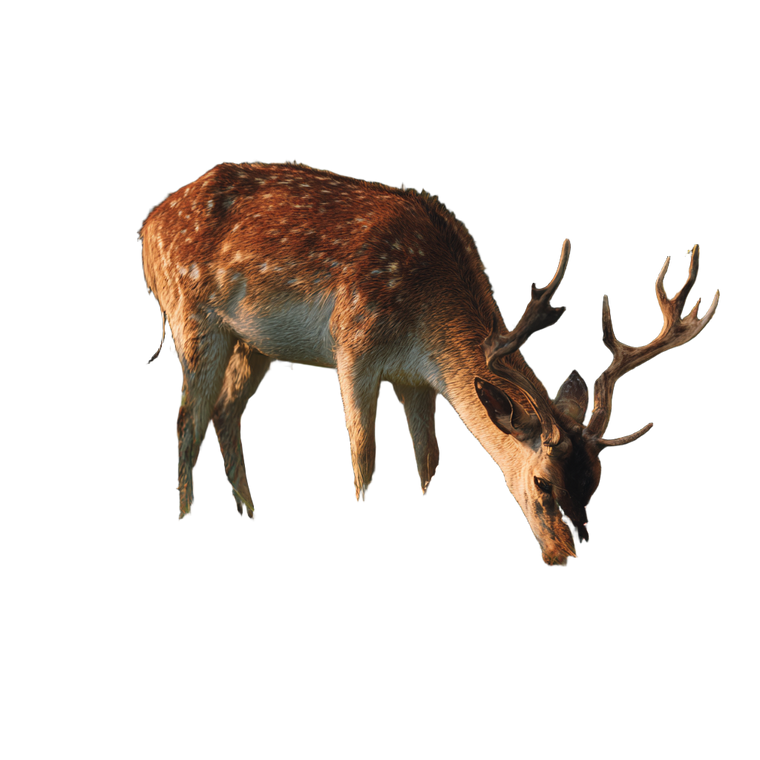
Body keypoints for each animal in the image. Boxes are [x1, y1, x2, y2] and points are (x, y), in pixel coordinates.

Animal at [137, 157, 722, 569]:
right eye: (542, 483)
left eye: (596, 482)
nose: (564, 555)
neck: (423, 320)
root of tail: (149, 225)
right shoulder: (354, 345)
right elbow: (365, 454)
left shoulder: (417, 379)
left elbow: (429, 457)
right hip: (192, 314)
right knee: (187, 418)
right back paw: (186, 517)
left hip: (255, 343)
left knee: (225, 412)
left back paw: (252, 516)